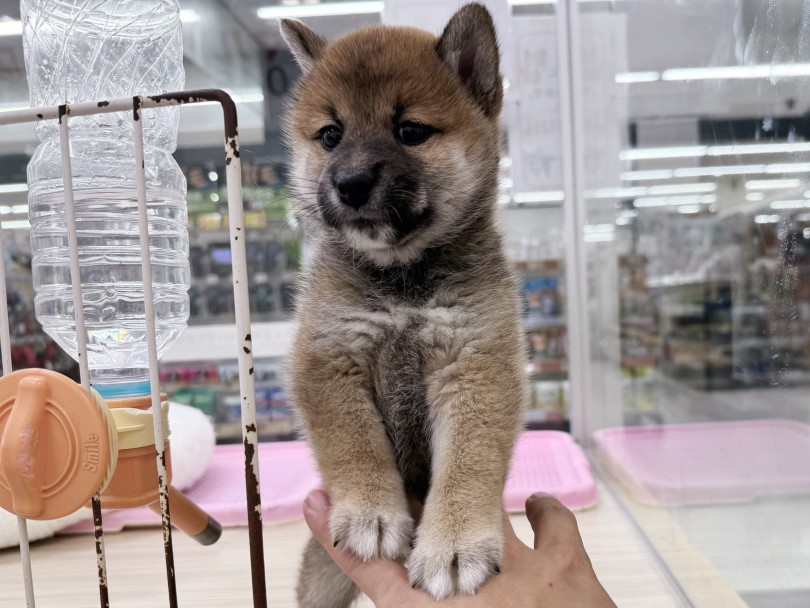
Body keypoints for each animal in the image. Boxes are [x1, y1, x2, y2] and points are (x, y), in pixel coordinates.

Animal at [280, 3, 528, 604]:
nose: (349, 182)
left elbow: (469, 462)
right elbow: (354, 443)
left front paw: (455, 544)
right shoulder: (330, 358)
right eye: (331, 135)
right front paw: (371, 512)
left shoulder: (474, 362)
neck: (402, 282)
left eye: (410, 131)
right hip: (323, 580)